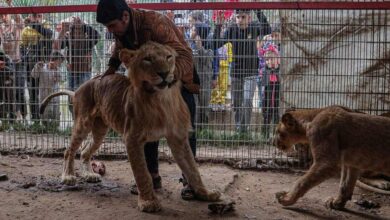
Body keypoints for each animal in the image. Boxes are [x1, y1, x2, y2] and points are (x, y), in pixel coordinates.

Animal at [42, 41, 222, 211]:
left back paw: (89, 175)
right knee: (69, 150)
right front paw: (148, 202)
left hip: (100, 130)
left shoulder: (178, 138)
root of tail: (79, 88)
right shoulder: (132, 138)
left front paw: (205, 194)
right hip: (83, 123)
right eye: (147, 59)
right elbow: (143, 173)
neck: (161, 100)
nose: (164, 73)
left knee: (86, 151)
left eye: (168, 57)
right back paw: (68, 176)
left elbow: (192, 169)